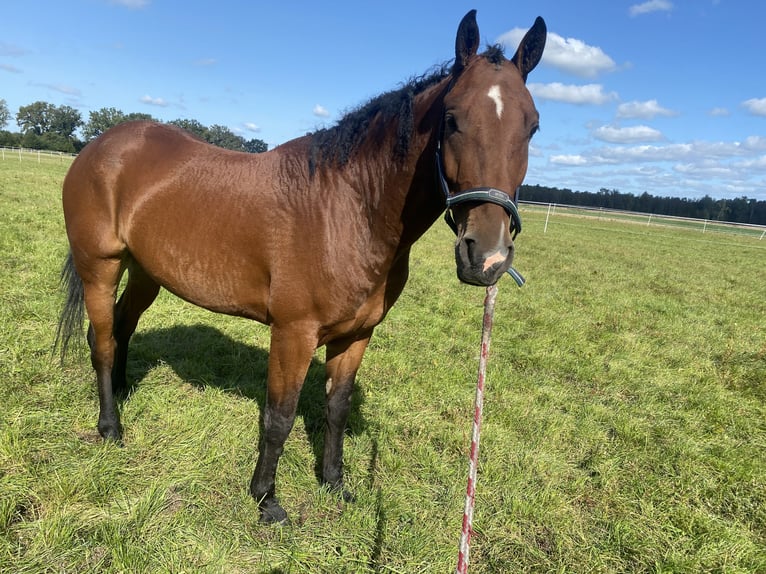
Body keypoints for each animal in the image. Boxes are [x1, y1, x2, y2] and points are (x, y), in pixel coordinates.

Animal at [55, 10, 544, 528]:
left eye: (532, 126)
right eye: (452, 119)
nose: (487, 257)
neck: (350, 207)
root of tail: (100, 146)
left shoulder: (357, 334)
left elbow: (336, 408)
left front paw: (334, 483)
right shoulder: (293, 332)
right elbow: (280, 415)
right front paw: (266, 499)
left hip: (147, 272)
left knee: (121, 329)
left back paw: (124, 394)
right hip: (100, 268)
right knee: (102, 342)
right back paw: (110, 427)